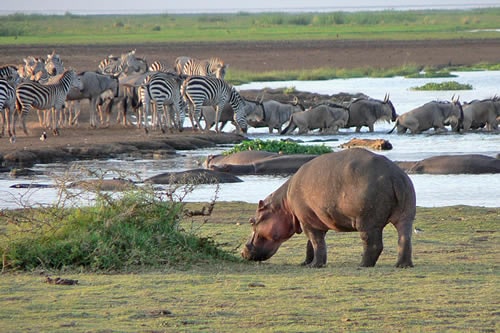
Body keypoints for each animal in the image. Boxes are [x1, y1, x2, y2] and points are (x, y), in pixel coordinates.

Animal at [240, 148, 416, 268]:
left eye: (252, 221)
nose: (242, 252)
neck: (283, 204)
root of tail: (394, 175)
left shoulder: (307, 222)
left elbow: (317, 243)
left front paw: (314, 265)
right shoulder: (311, 220)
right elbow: (310, 244)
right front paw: (305, 263)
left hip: (367, 222)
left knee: (373, 244)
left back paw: (363, 265)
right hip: (406, 215)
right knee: (404, 238)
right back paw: (402, 265)